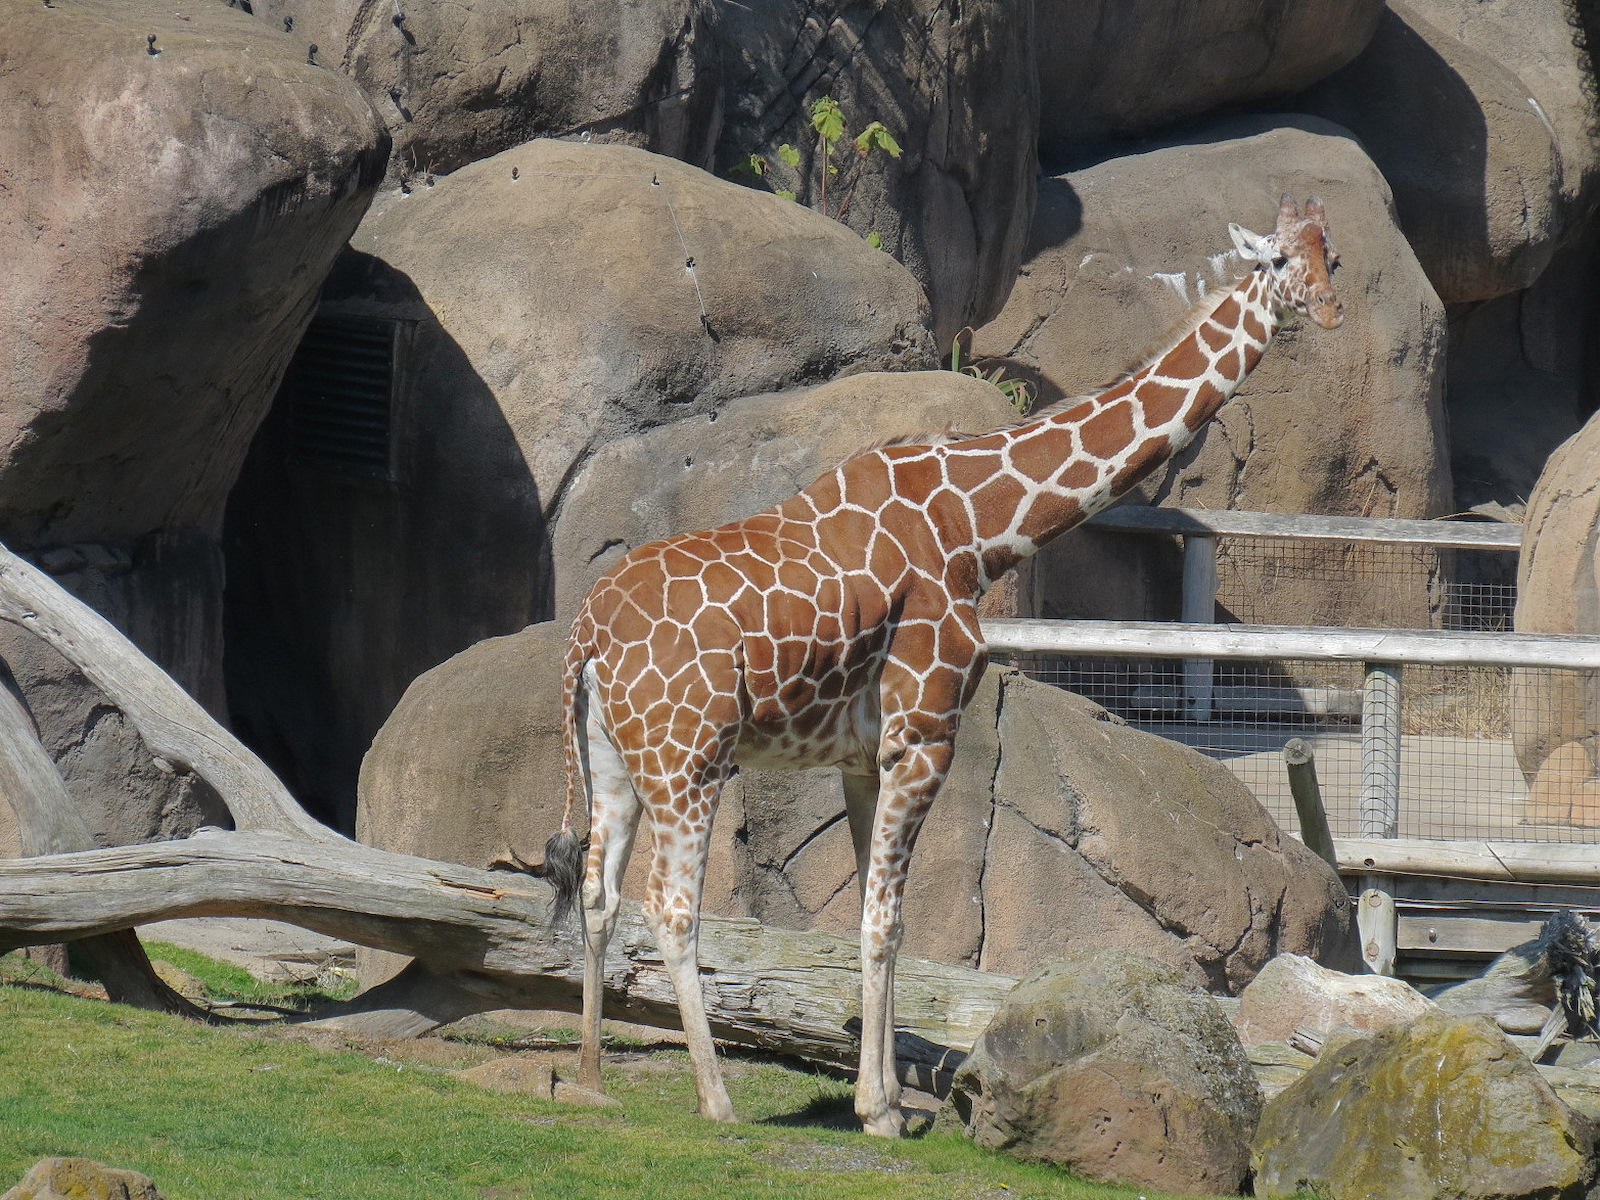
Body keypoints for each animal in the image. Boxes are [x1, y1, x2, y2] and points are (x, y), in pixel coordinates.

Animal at [543, 195, 1343, 1135]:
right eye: (1280, 260)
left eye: (1332, 256)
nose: (1330, 310)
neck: (977, 529)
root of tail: (585, 635)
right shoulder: (924, 733)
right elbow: (889, 923)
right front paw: (881, 1112)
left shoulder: (864, 755)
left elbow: (873, 914)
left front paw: (884, 1097)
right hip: (689, 757)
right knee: (671, 907)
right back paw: (717, 1099)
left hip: (614, 759)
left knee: (599, 895)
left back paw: (590, 1075)